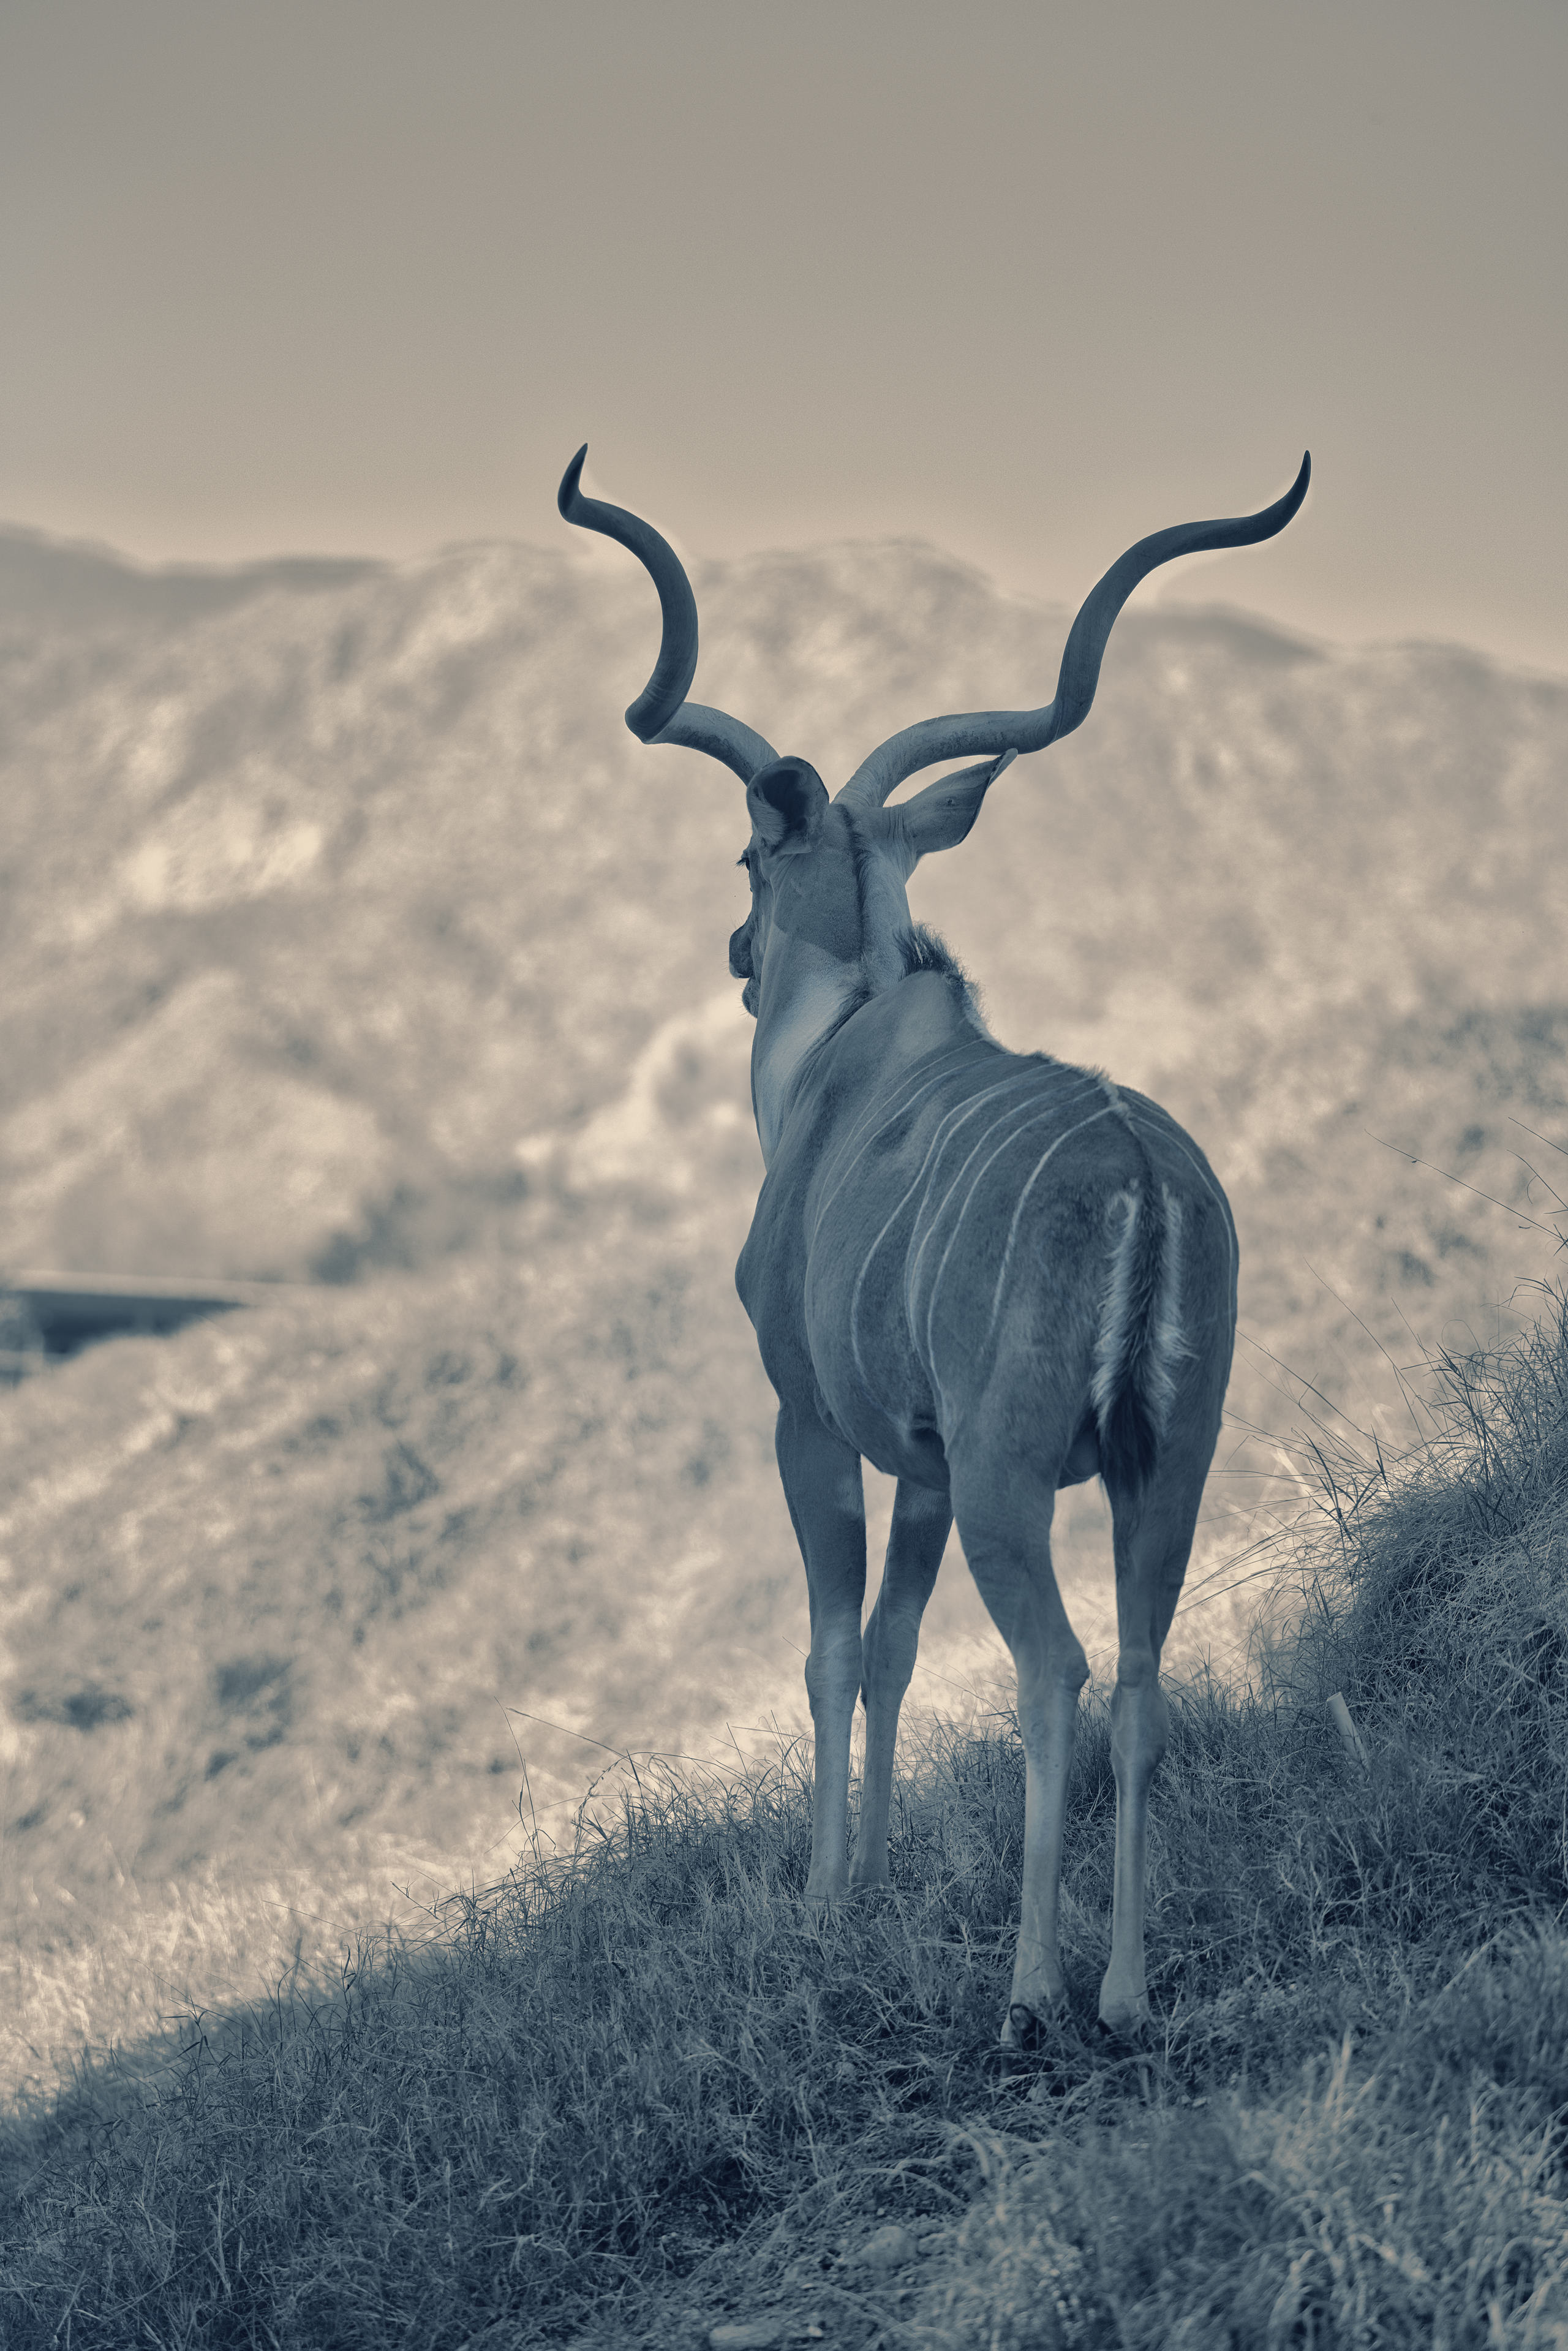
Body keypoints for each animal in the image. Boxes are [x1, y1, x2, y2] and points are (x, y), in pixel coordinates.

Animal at [559, 446, 1309, 2040]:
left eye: (746, 850)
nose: (732, 952)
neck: (844, 1050)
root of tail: (1138, 1171)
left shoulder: (813, 1421)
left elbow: (834, 1643)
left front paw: (824, 1891)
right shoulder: (917, 1461)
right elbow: (898, 1644)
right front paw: (885, 1869)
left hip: (1011, 1472)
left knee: (1056, 1667)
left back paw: (1032, 1989)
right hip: (1165, 1459)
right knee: (1139, 1670)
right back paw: (1125, 1989)